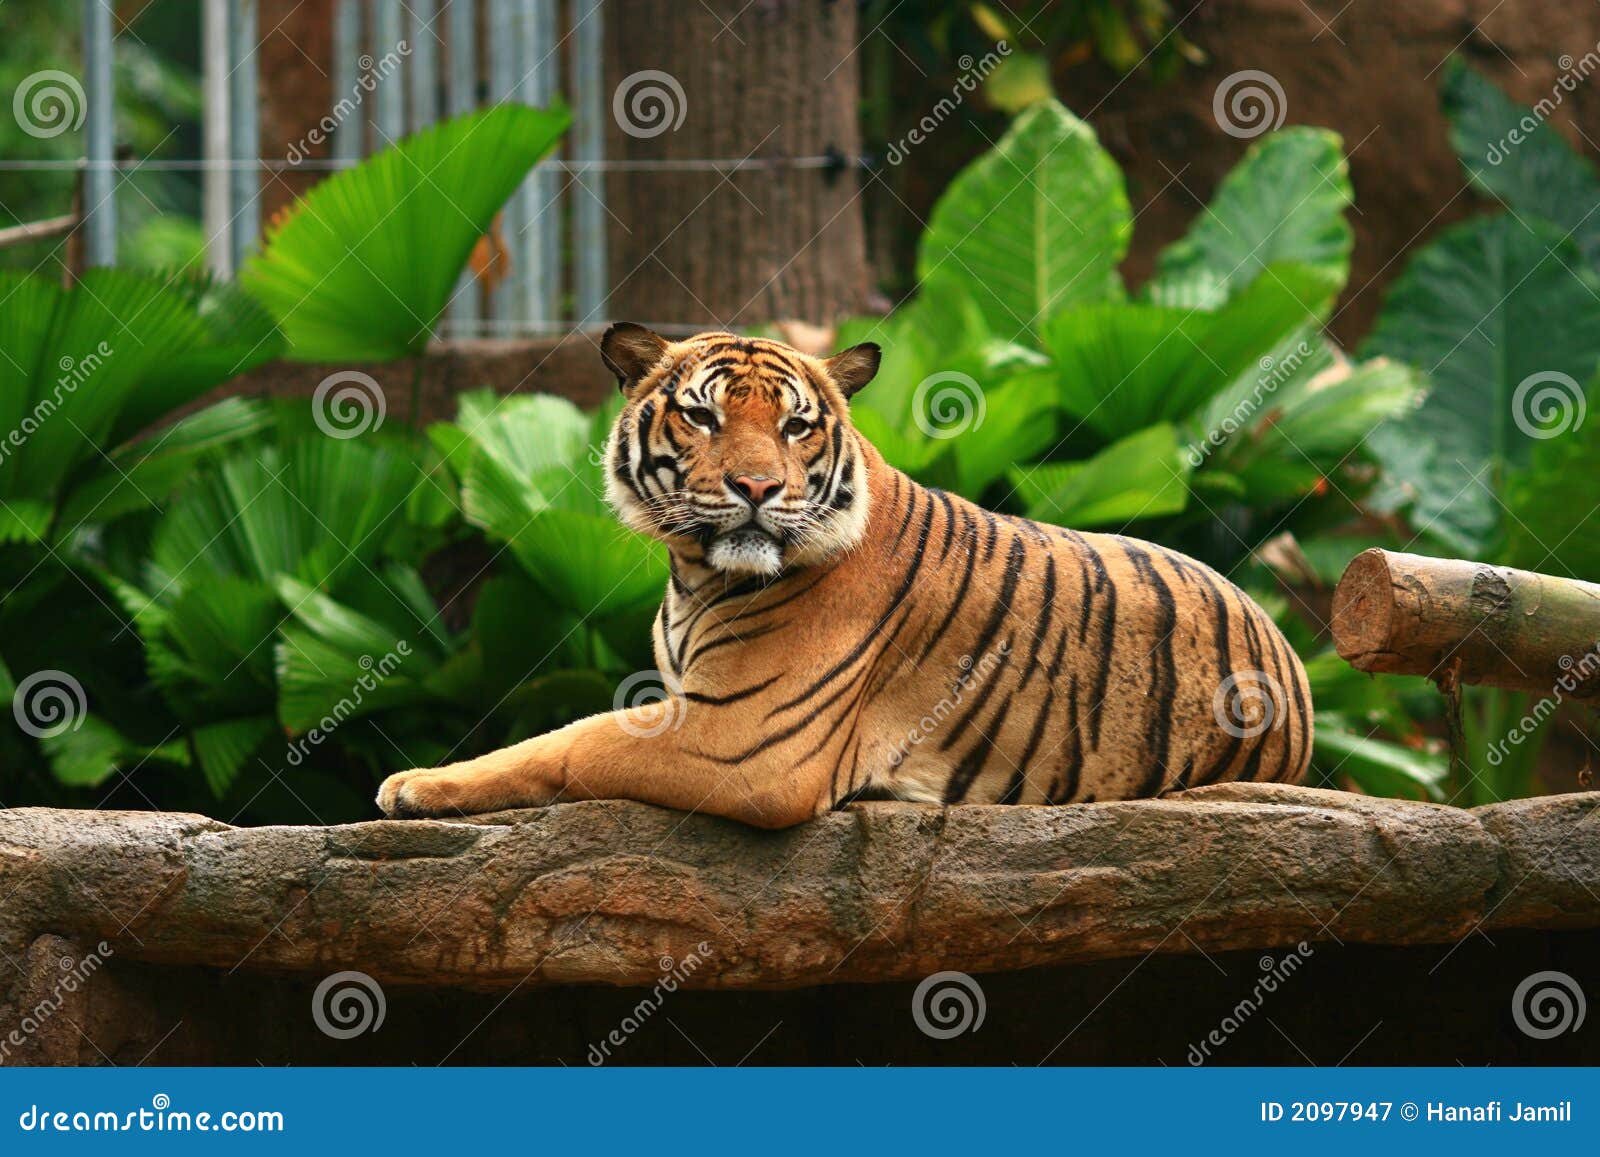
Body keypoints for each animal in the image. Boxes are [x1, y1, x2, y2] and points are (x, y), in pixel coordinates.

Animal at [374, 321, 1312, 825]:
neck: (694, 574)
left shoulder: (740, 741)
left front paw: (414, 782)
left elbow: (567, 741)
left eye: (796, 426)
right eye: (704, 416)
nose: (758, 488)